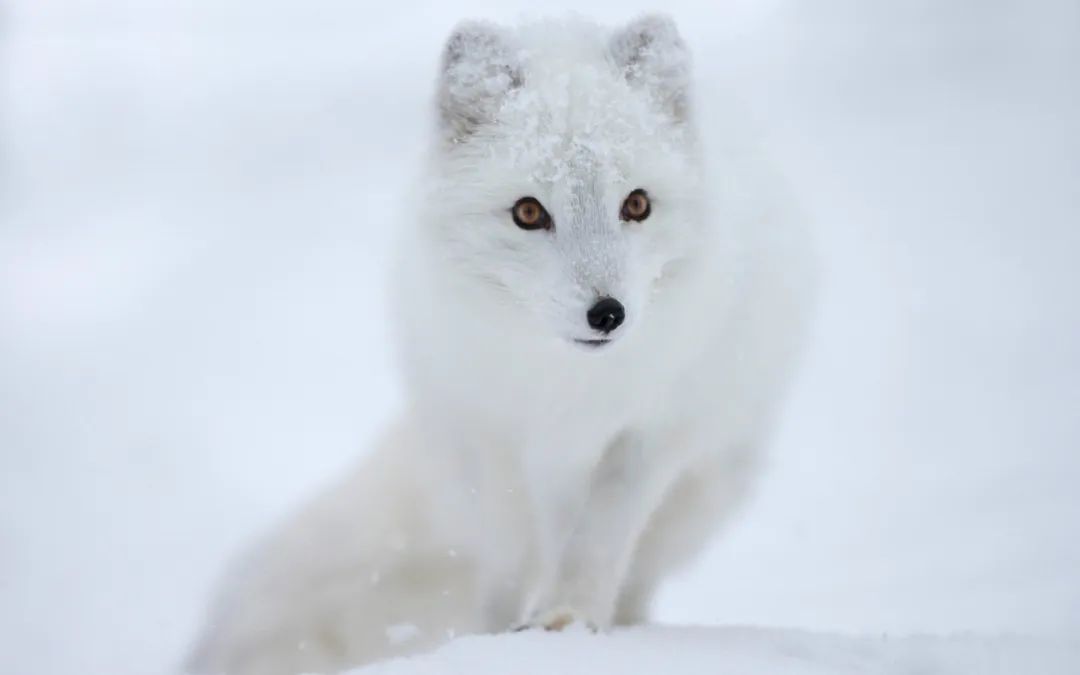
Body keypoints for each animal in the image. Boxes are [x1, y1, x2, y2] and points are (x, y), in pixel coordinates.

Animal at [187, 14, 812, 673]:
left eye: (637, 204)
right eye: (529, 212)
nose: (607, 314)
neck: (567, 386)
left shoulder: (651, 433)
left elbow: (599, 538)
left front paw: (568, 621)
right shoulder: (494, 436)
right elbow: (511, 559)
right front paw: (495, 640)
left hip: (710, 484)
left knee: (636, 574)